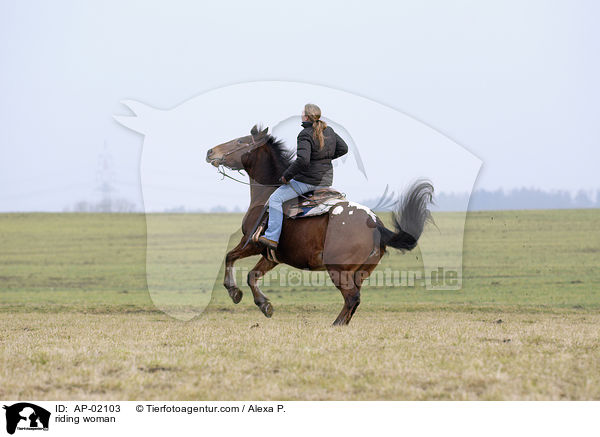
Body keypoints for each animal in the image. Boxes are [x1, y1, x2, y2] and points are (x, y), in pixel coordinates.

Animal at [206, 123, 432, 324]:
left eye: (240, 141)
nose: (210, 151)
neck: (267, 194)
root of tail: (376, 225)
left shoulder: (252, 242)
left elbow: (230, 257)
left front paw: (234, 292)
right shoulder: (272, 256)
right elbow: (252, 275)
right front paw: (265, 305)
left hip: (338, 271)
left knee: (352, 298)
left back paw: (336, 325)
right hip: (359, 273)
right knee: (354, 300)